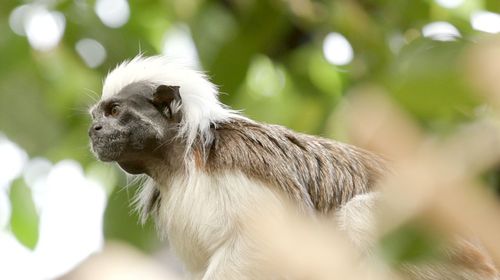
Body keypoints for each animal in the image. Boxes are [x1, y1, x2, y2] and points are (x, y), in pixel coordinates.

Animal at [88, 55, 498, 280]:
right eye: (97, 116)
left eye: (114, 111)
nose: (94, 129)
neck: (185, 166)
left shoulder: (241, 168)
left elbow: (267, 244)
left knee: (361, 214)